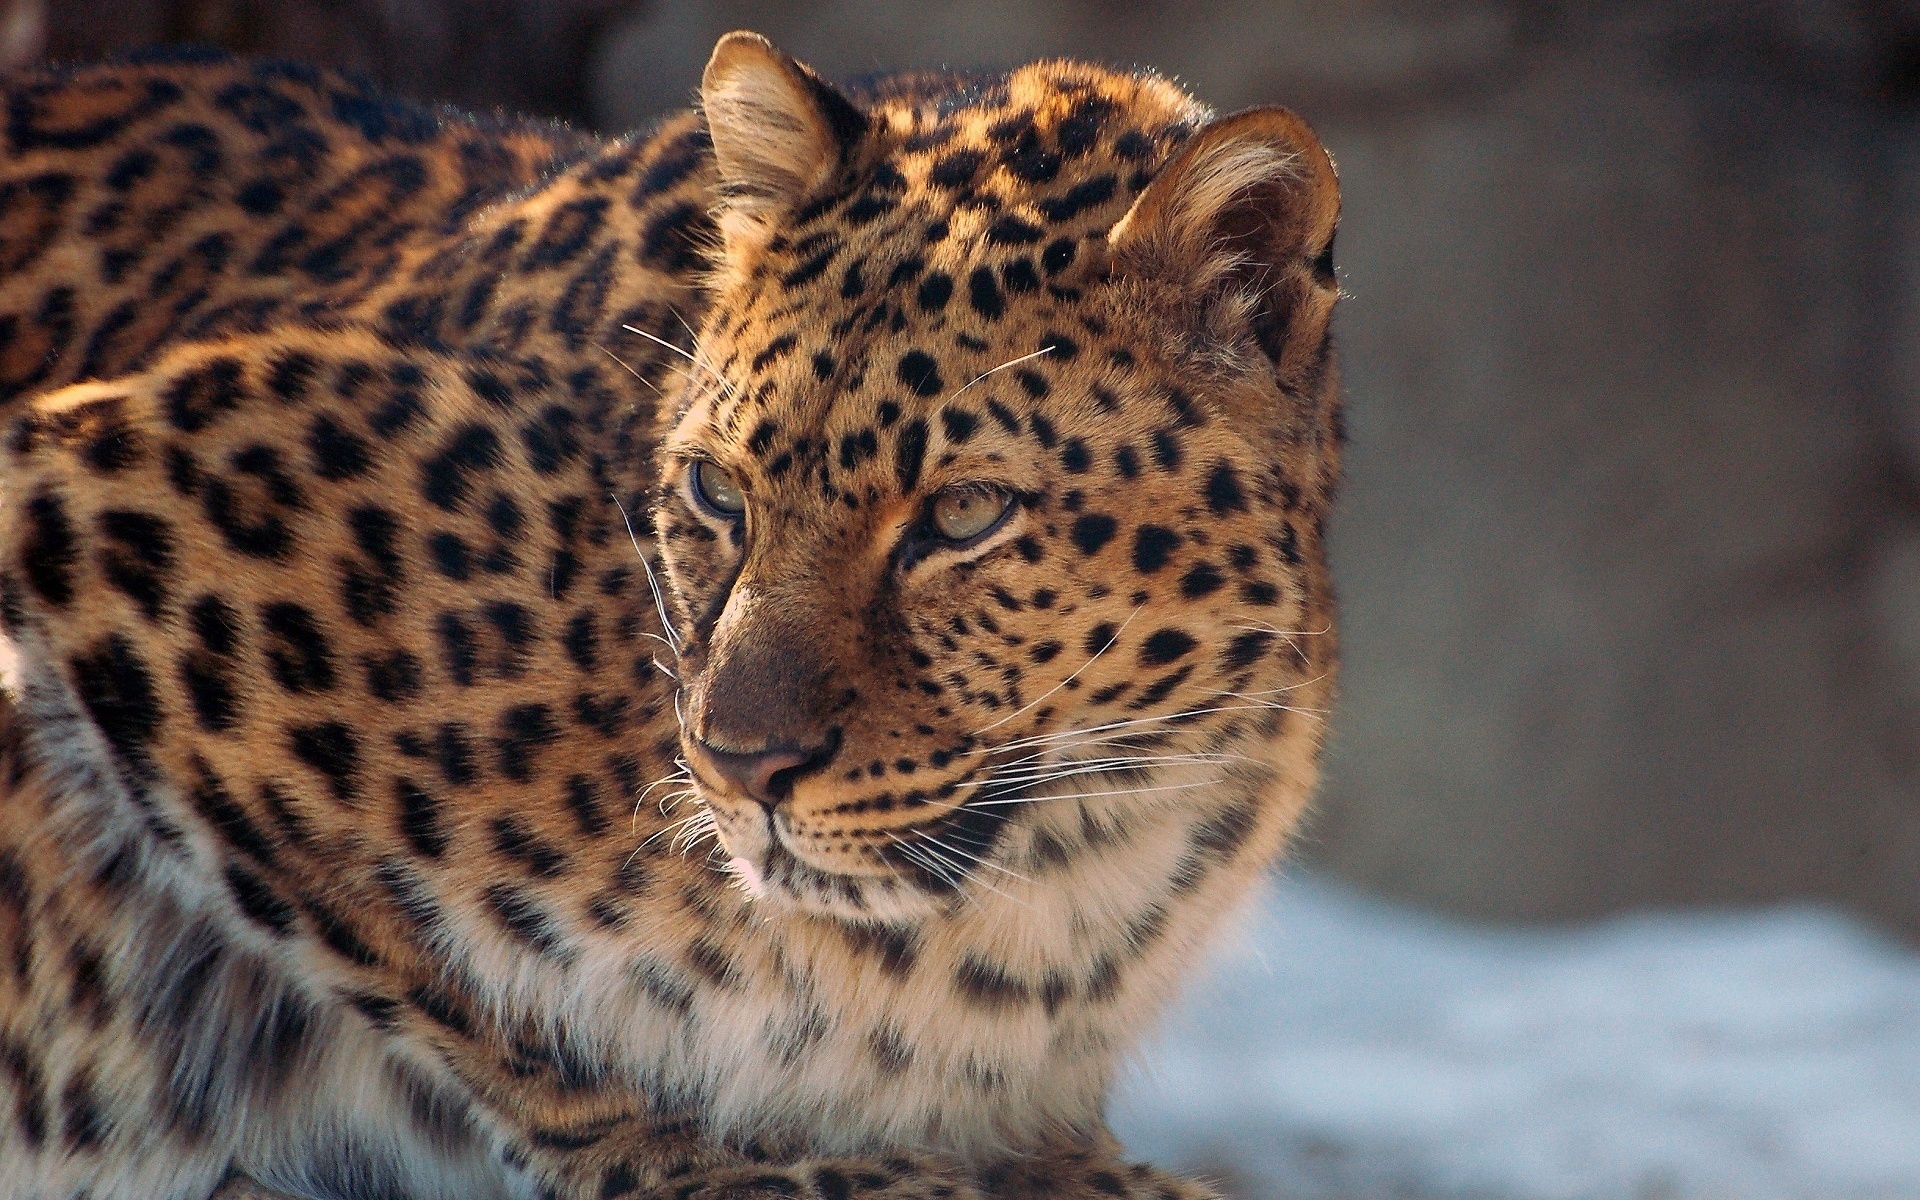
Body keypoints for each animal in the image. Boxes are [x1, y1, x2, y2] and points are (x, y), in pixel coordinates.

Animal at [0, 25, 1344, 1198]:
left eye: (965, 515)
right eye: (716, 491)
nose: (740, 767)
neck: (1073, 871)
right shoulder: (108, 480)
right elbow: (467, 983)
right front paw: (747, 1160)